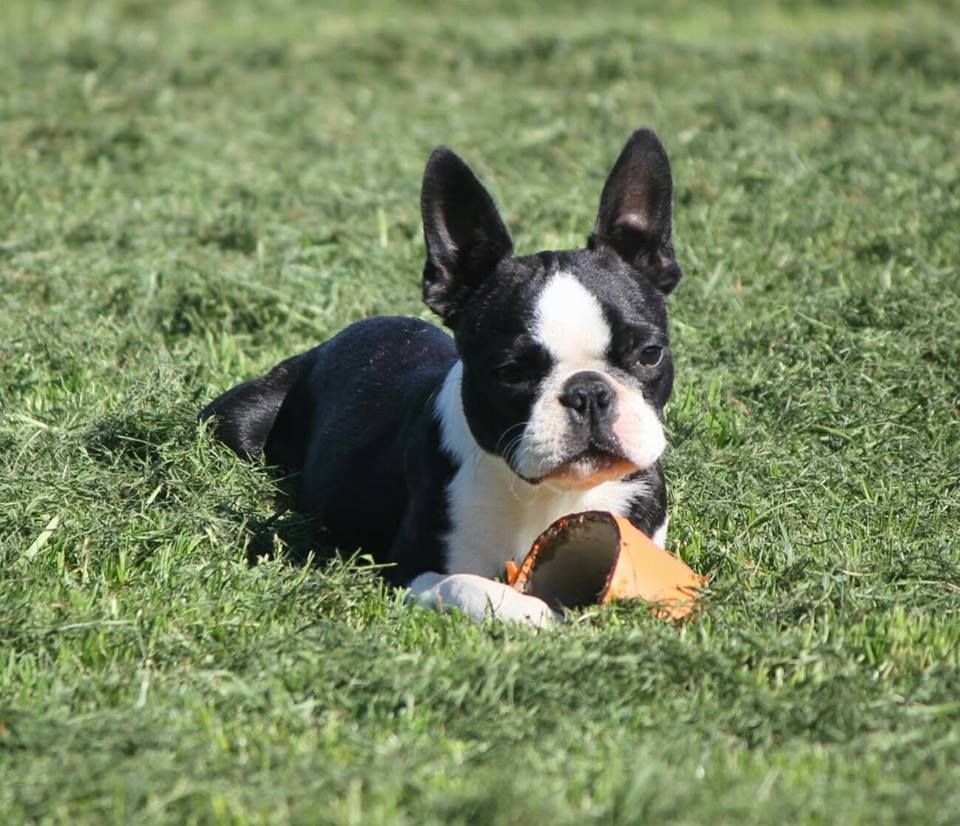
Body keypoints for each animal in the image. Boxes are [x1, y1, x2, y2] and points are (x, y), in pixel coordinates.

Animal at [201, 127, 684, 624]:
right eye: (510, 371)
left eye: (649, 354)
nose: (588, 393)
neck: (551, 494)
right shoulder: (410, 569)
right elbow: (470, 586)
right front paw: (537, 612)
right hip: (237, 420)